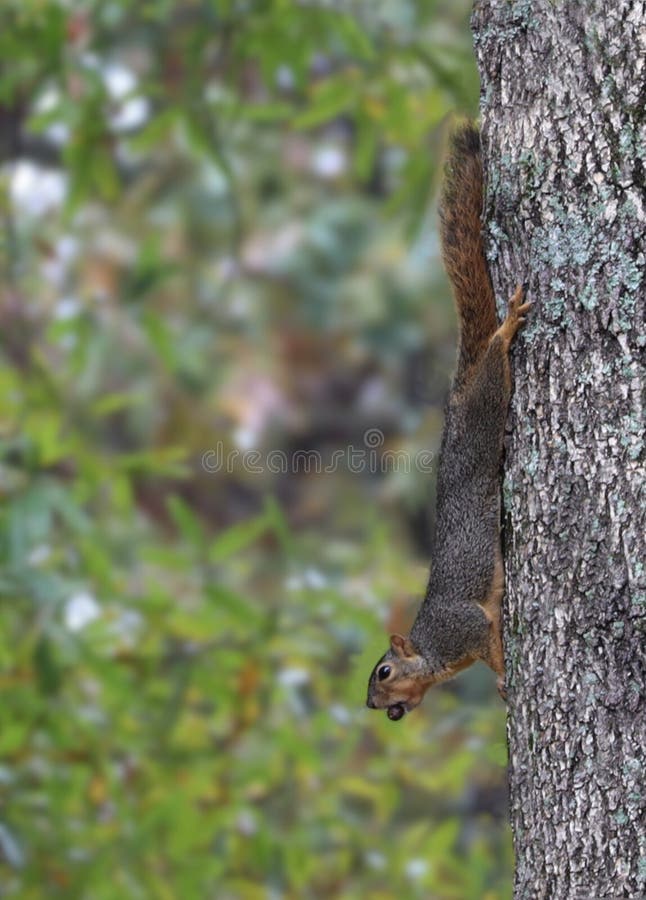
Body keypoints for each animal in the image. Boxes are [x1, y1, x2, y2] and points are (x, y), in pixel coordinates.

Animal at [368, 123, 528, 720]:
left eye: (384, 672)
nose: (375, 707)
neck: (434, 654)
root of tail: (456, 398)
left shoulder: (466, 627)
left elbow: (490, 641)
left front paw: (504, 679)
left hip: (487, 401)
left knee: (495, 362)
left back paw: (505, 330)